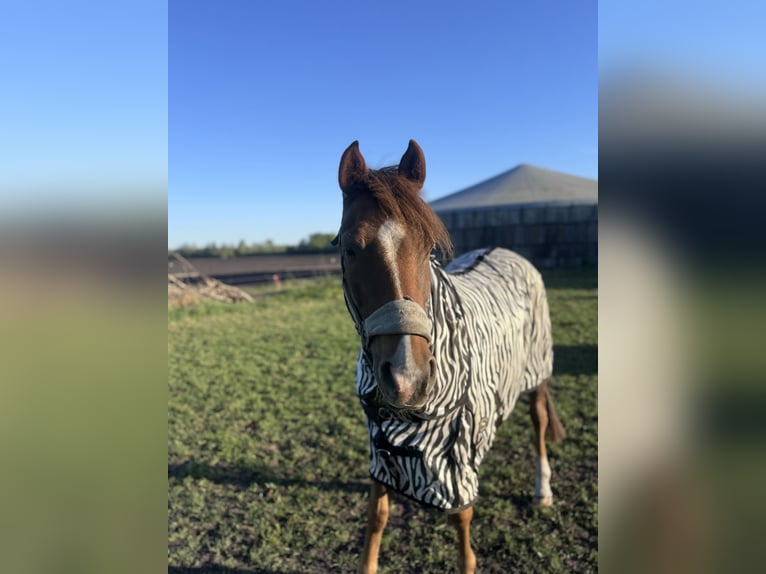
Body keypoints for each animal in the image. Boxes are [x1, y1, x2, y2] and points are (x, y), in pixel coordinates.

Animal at [336, 140, 566, 574]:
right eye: (350, 249)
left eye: (429, 248)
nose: (407, 379)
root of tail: (509, 252)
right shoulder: (381, 446)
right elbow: (377, 517)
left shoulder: (457, 457)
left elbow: (461, 517)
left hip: (538, 372)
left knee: (539, 422)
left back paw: (543, 487)